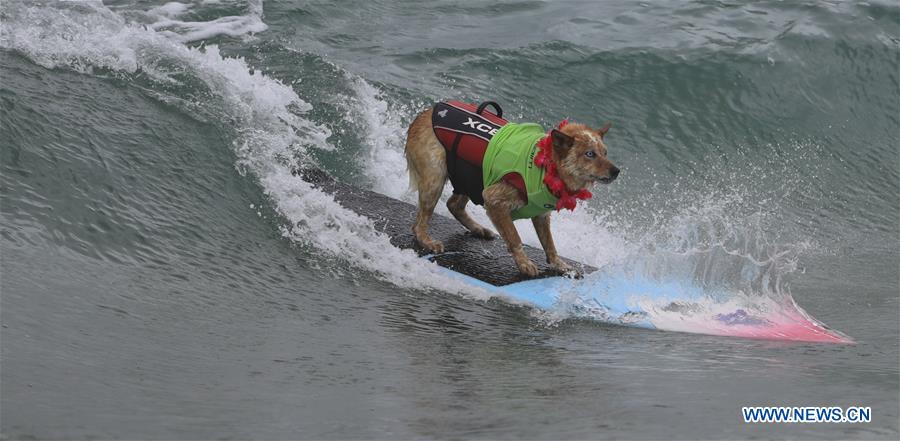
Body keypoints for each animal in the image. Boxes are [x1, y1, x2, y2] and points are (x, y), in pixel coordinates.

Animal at [404, 101, 616, 276]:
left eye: (605, 153)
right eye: (590, 154)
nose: (617, 171)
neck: (547, 166)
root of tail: (427, 112)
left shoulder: (541, 215)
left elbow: (549, 243)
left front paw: (558, 264)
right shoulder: (494, 199)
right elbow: (515, 237)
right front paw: (524, 263)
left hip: (474, 176)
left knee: (453, 204)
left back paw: (478, 228)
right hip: (437, 177)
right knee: (419, 223)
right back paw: (427, 240)